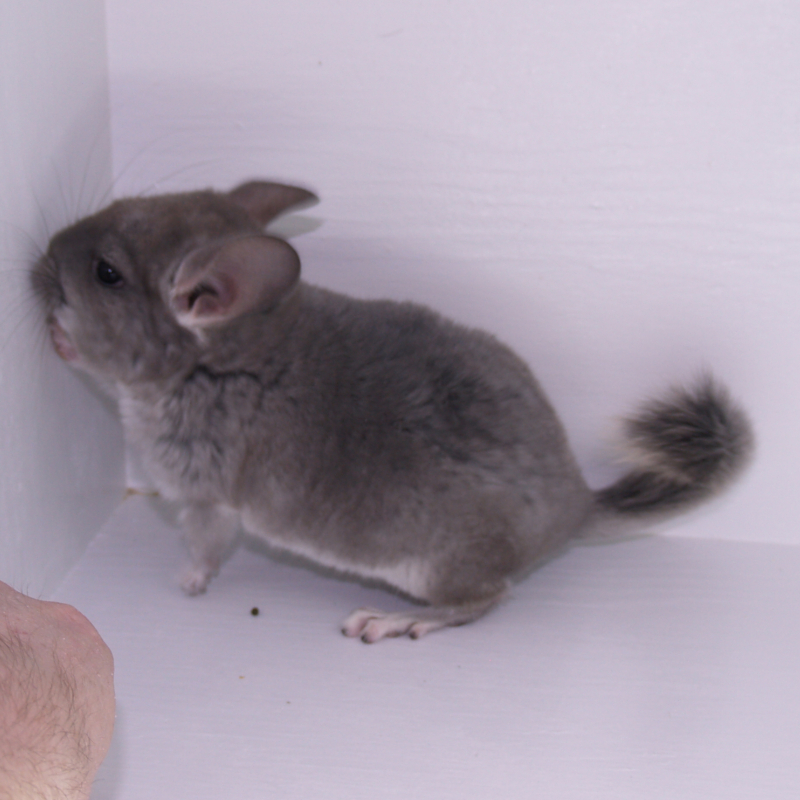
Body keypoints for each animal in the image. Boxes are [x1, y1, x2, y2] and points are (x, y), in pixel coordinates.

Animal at [32, 180, 753, 642]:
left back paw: (394, 621)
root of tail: (575, 506)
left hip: (435, 567)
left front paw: (184, 584)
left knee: (485, 599)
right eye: (123, 203)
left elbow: (206, 548)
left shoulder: (206, 492)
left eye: (105, 274)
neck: (231, 353)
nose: (40, 258)